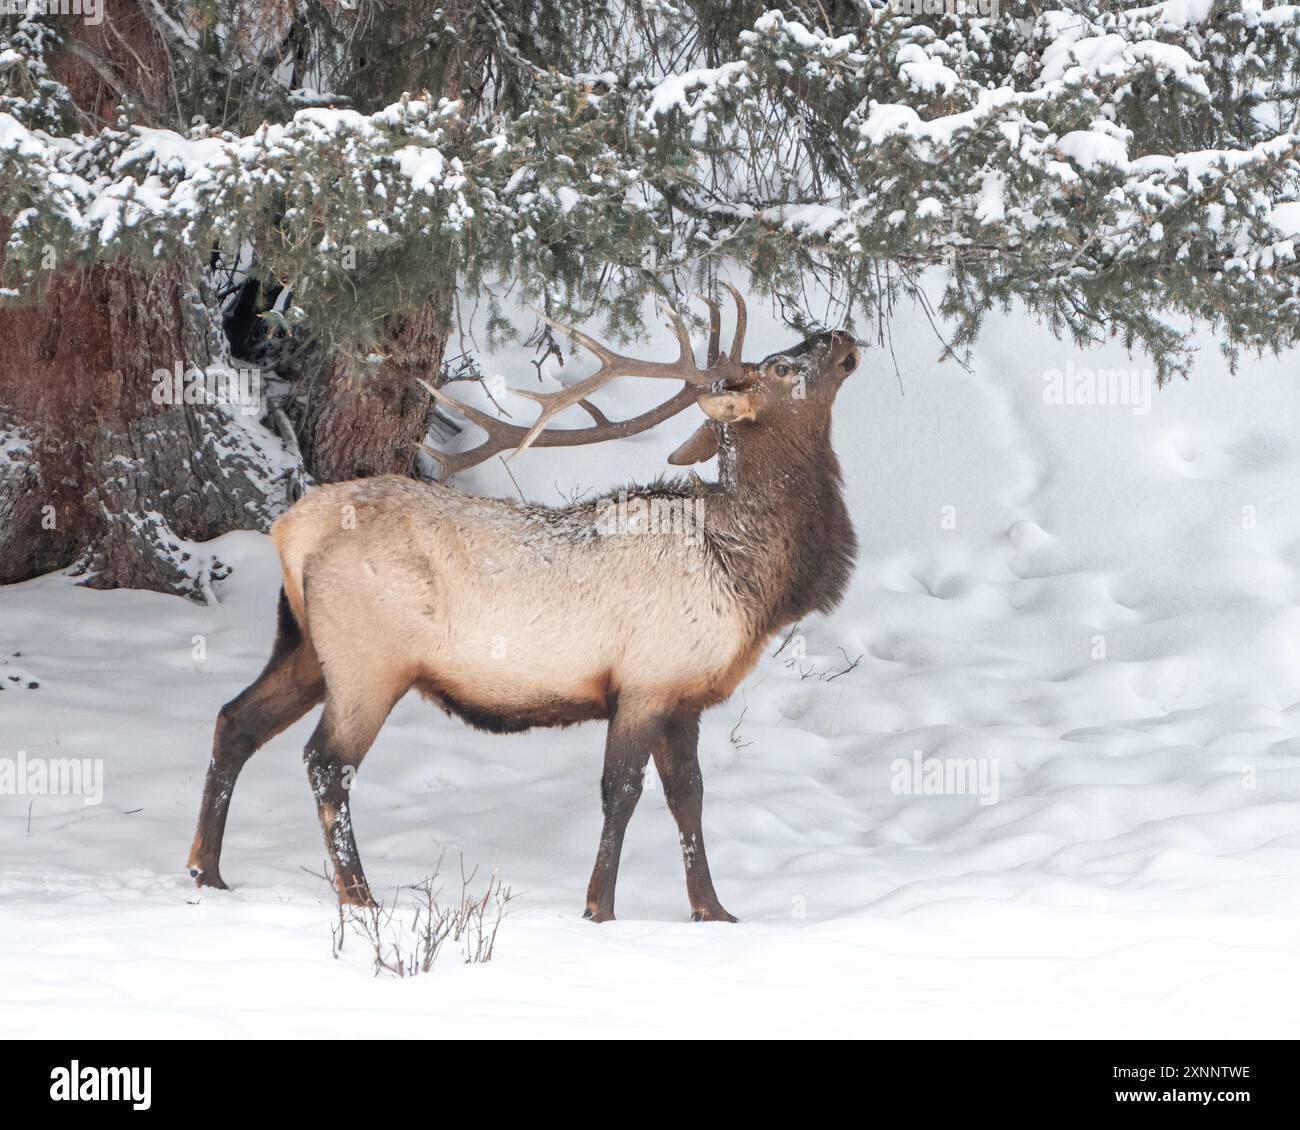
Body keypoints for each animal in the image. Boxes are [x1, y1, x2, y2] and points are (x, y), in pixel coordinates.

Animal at [188, 288, 857, 915]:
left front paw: (713, 910)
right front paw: (599, 908)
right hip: (367, 661)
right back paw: (360, 897)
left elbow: (688, 797)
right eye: (781, 368)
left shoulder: (683, 694)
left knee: (234, 720)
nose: (843, 336)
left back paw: (207, 870)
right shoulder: (644, 682)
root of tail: (292, 529)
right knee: (326, 762)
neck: (748, 576)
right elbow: (622, 792)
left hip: (303, 645)